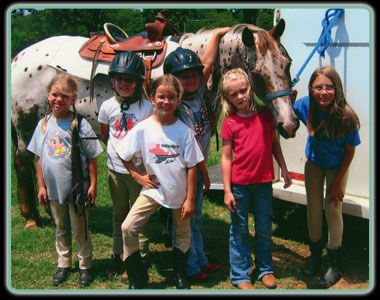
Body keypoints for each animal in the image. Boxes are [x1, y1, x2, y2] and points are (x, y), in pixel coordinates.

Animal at [10, 19, 298, 230]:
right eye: (257, 73)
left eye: (287, 63)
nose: (289, 124)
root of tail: (19, 57)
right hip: (26, 125)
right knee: (23, 161)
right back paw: (31, 218)